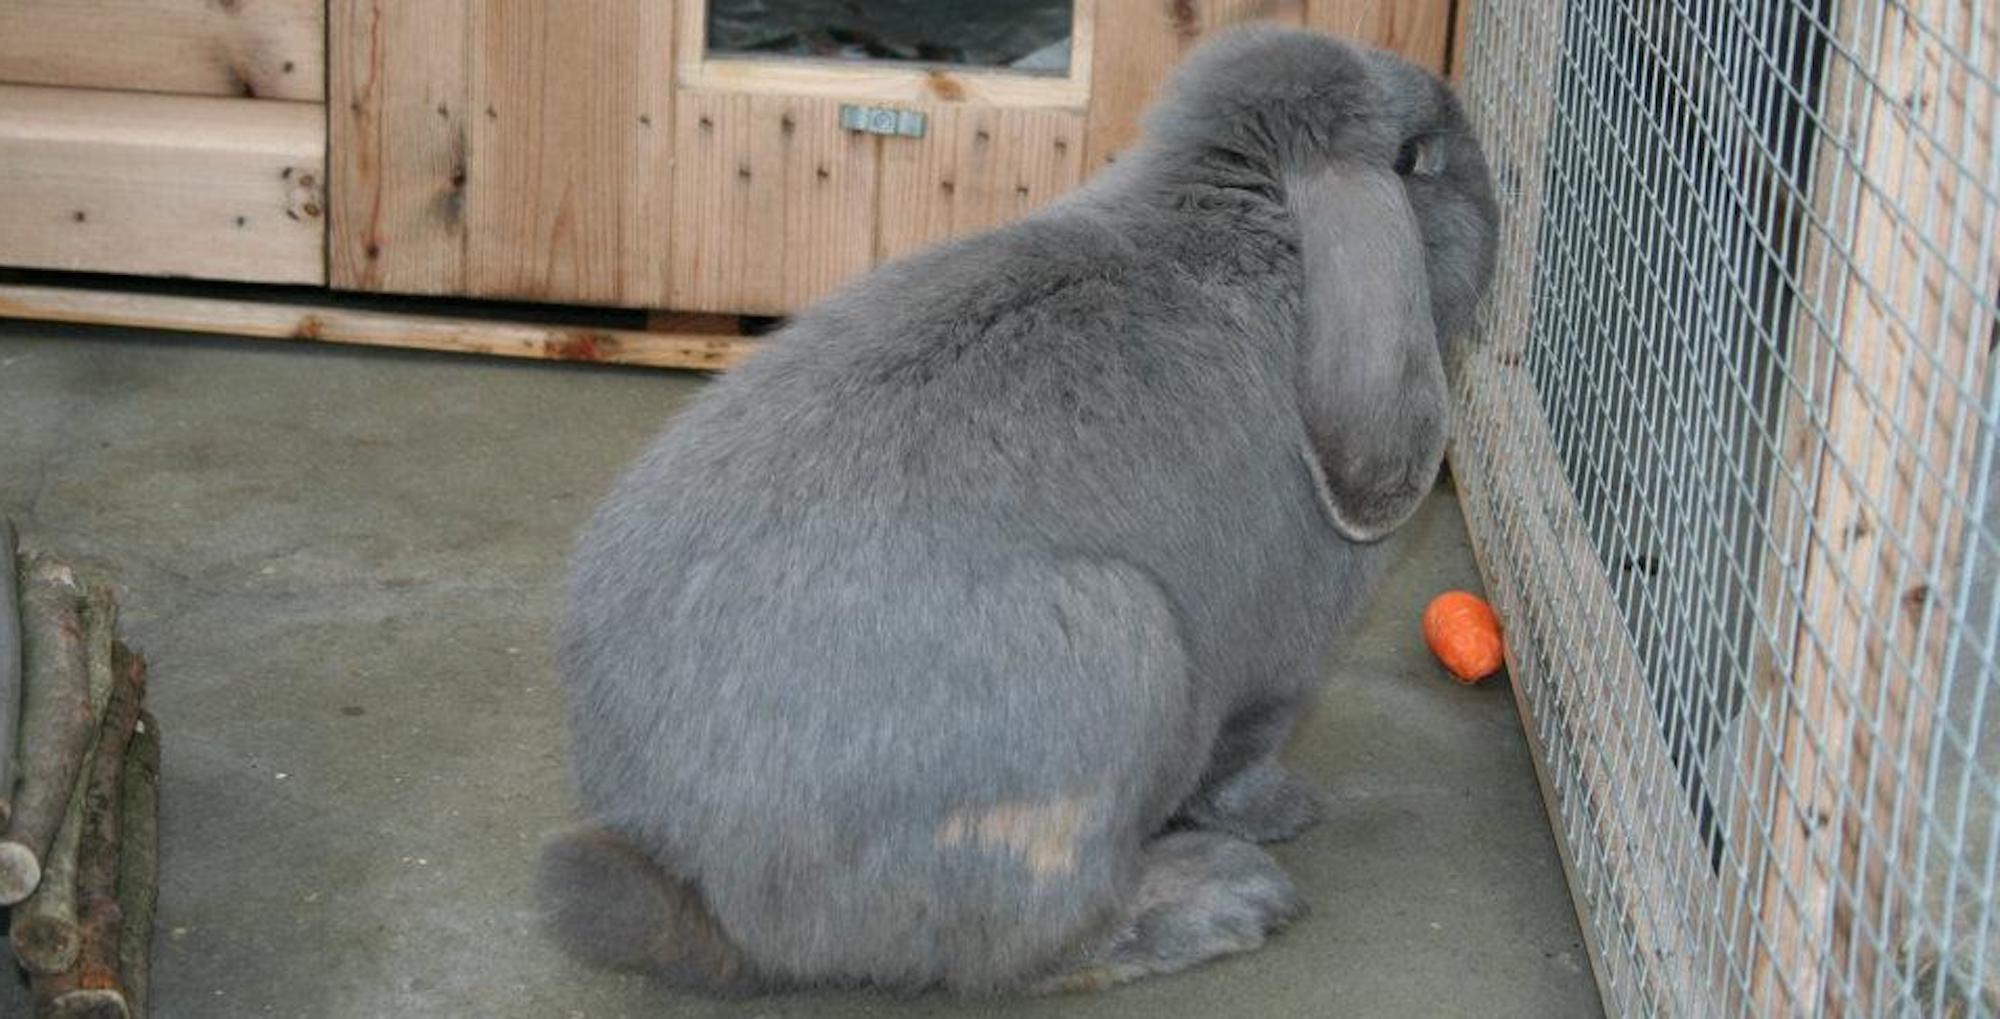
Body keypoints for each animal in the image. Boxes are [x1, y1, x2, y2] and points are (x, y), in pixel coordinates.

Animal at [540, 21, 1496, 995]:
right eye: (1416, 158)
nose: (1481, 152)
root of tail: (702, 877)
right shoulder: (1276, 668)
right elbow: (1241, 762)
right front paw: (1286, 810)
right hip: (1118, 661)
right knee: (1027, 946)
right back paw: (1220, 897)